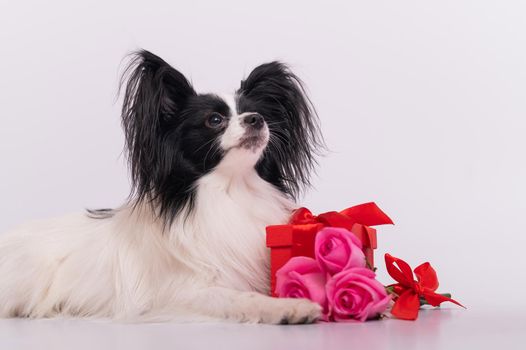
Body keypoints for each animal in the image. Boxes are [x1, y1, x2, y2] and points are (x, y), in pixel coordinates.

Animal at [0, 50, 326, 324]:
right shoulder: (185, 294)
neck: (230, 190)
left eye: (261, 114)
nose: (256, 120)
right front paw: (288, 307)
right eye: (215, 120)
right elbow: (241, 298)